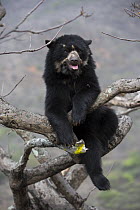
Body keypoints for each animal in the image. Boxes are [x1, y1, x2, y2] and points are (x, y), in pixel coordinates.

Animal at [43, 34, 118, 190]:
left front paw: (77, 117)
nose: (74, 60)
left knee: (110, 119)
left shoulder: (88, 75)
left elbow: (89, 90)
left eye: (79, 50)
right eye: (65, 50)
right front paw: (67, 137)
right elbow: (54, 108)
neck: (70, 76)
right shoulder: (54, 83)